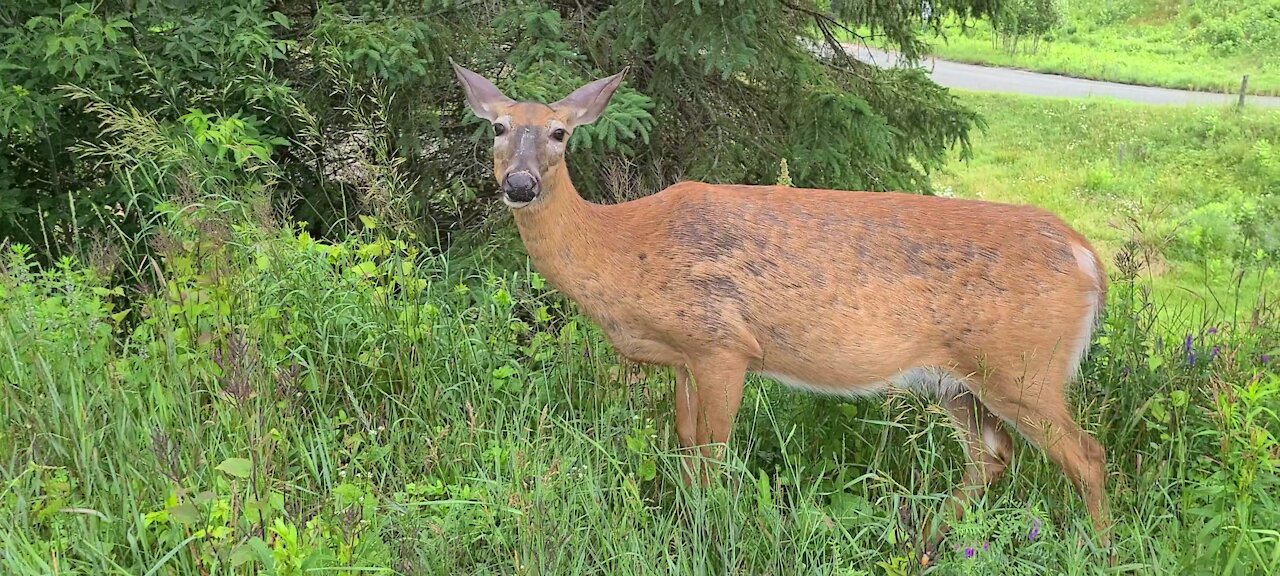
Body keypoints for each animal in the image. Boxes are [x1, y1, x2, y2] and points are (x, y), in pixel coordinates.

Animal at [455, 60, 1116, 560]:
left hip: (1024, 366)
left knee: (1087, 455)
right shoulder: (685, 357)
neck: (624, 248)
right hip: (957, 378)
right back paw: (921, 545)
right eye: (497, 127)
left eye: (560, 134)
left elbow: (714, 455)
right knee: (993, 456)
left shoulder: (724, 345)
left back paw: (1101, 550)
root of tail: (1088, 257)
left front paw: (708, 537)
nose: (519, 185)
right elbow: (686, 446)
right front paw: (684, 525)